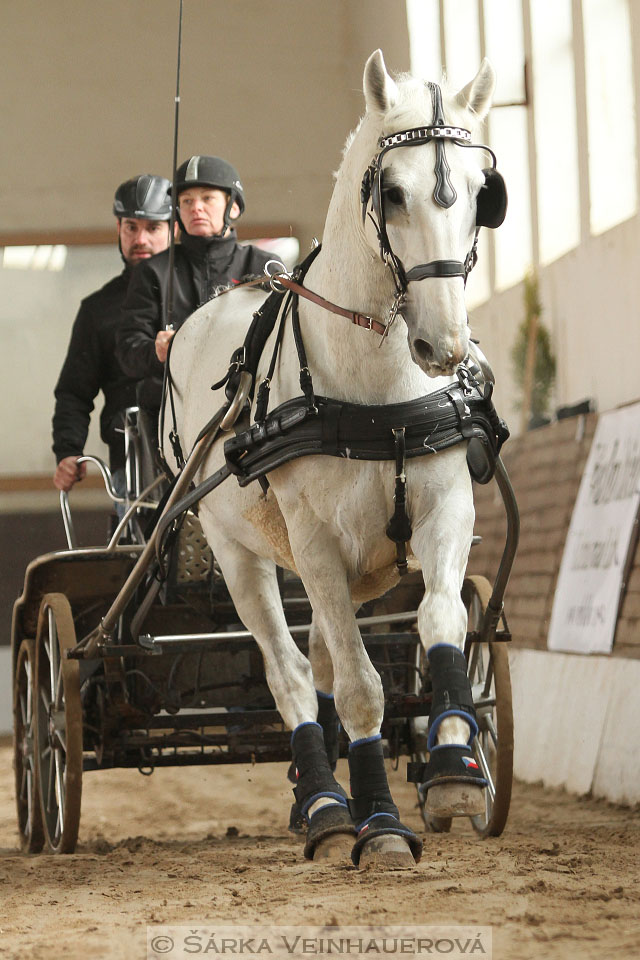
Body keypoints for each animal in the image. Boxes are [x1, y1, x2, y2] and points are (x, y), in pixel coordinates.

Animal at [166, 48, 504, 868]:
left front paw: (455, 766)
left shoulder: (445, 507)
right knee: (293, 677)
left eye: (483, 194)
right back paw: (324, 805)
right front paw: (378, 824)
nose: (443, 347)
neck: (375, 394)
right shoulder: (315, 541)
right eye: (393, 192)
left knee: (320, 656)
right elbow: (357, 690)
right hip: (241, 552)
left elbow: (443, 618)